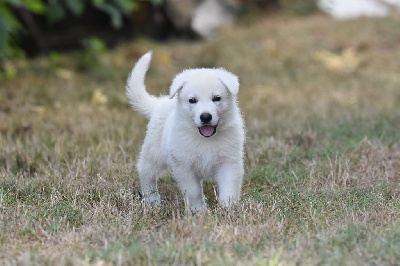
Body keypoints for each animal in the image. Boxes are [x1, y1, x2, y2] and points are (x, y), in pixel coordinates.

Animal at [126, 51, 244, 211]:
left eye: (216, 98)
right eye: (192, 100)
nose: (205, 117)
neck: (205, 139)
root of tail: (160, 102)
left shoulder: (229, 162)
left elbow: (228, 189)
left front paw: (228, 209)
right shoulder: (184, 165)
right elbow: (193, 191)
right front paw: (199, 210)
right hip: (154, 153)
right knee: (146, 172)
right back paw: (152, 200)